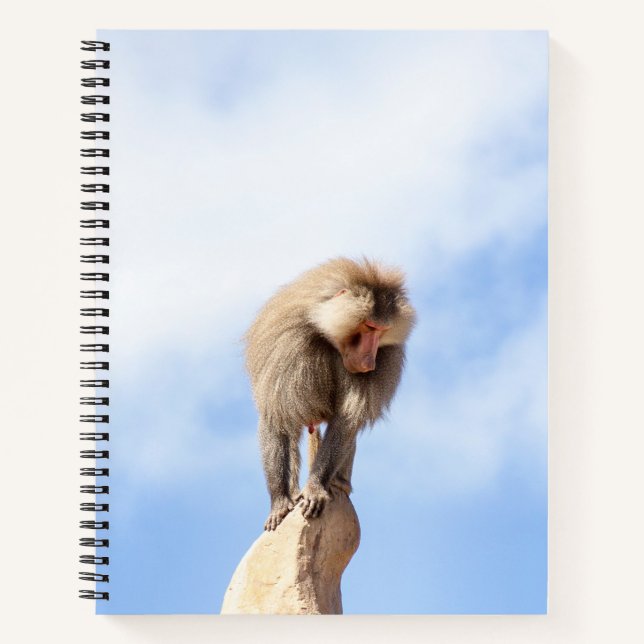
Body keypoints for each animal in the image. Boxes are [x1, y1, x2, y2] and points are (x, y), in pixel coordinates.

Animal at [244, 257, 416, 531]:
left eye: (382, 331)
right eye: (369, 327)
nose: (369, 363)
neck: (325, 332)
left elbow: (347, 421)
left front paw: (316, 488)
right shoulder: (287, 346)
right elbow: (277, 416)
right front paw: (279, 502)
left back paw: (338, 484)